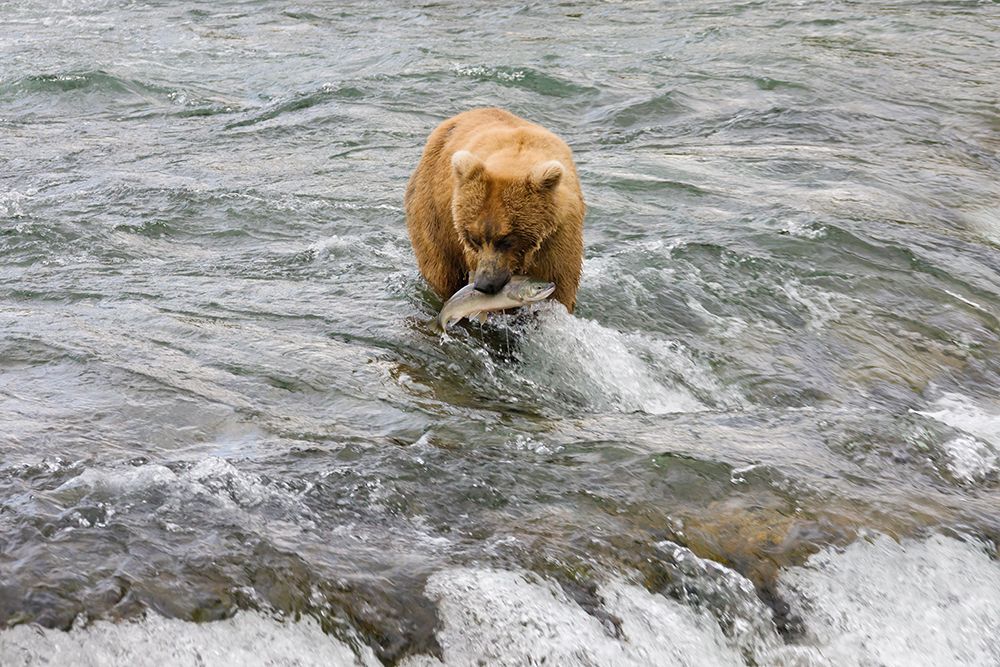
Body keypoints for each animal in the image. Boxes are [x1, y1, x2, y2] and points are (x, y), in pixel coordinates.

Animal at [405, 108, 585, 312]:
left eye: (506, 239)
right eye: (473, 239)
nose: (485, 284)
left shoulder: (557, 237)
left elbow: (561, 285)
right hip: (433, 215)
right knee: (441, 272)